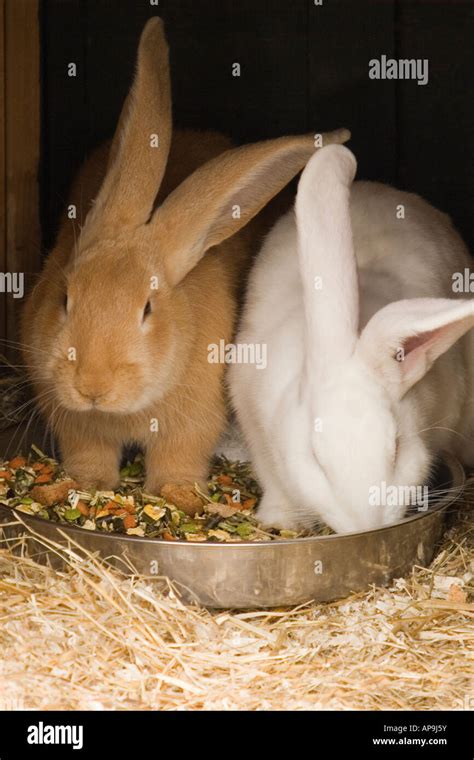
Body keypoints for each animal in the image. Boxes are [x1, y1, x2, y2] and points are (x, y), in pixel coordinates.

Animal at [21, 17, 348, 512]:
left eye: (147, 309)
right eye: (64, 299)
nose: (92, 386)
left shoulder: (194, 418)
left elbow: (179, 458)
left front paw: (178, 497)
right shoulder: (74, 421)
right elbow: (89, 456)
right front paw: (82, 485)